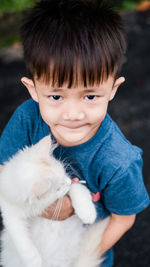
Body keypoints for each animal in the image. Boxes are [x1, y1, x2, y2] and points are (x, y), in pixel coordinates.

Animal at [0, 137, 109, 266]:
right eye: (57, 188)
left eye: (64, 172)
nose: (68, 182)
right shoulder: (10, 215)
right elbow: (21, 240)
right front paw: (34, 261)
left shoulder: (72, 185)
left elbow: (78, 189)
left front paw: (88, 213)